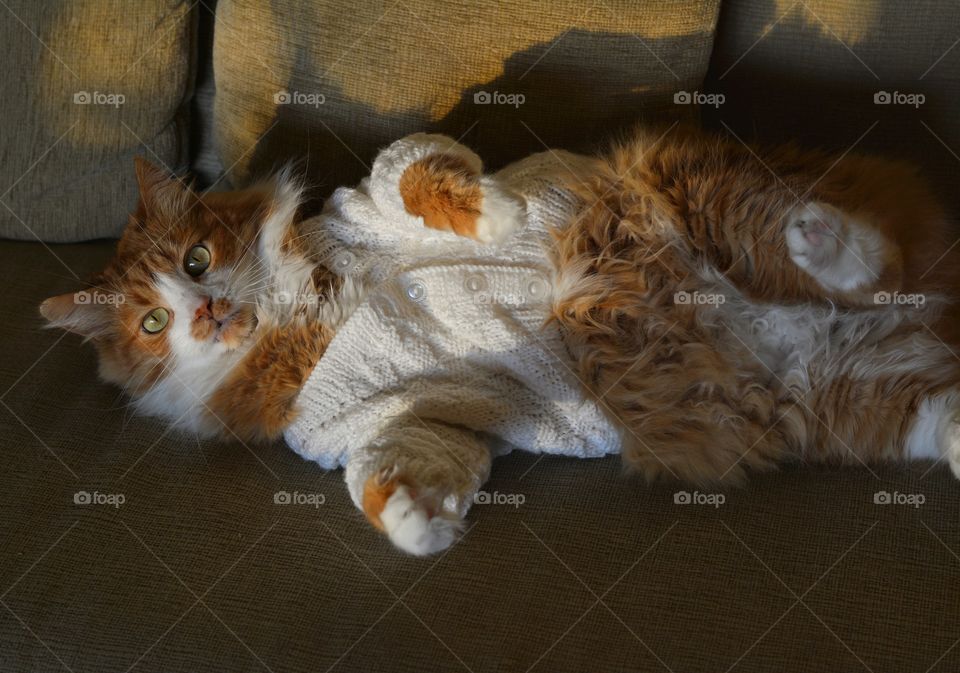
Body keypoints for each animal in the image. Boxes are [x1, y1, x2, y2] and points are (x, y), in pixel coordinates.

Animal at [45, 124, 960, 552]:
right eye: (153, 322)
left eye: (197, 260)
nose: (204, 315)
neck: (310, 316)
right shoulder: (385, 422)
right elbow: (391, 472)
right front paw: (417, 525)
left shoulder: (363, 203)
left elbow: (415, 171)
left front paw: (495, 215)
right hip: (850, 393)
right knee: (936, 396)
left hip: (707, 203)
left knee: (861, 257)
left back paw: (823, 240)